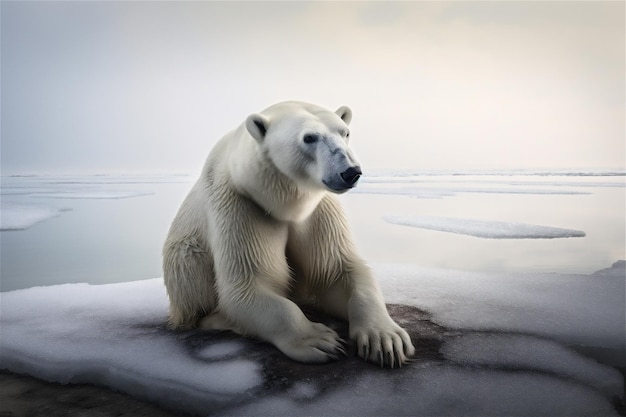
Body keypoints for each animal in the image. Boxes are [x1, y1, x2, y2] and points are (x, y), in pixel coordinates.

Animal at [163, 102, 412, 366]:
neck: (282, 204)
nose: (350, 172)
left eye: (345, 132)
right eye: (309, 137)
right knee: (190, 268)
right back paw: (219, 319)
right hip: (185, 258)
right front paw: (320, 340)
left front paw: (386, 339)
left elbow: (338, 270)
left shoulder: (319, 211)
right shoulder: (239, 205)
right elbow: (250, 286)